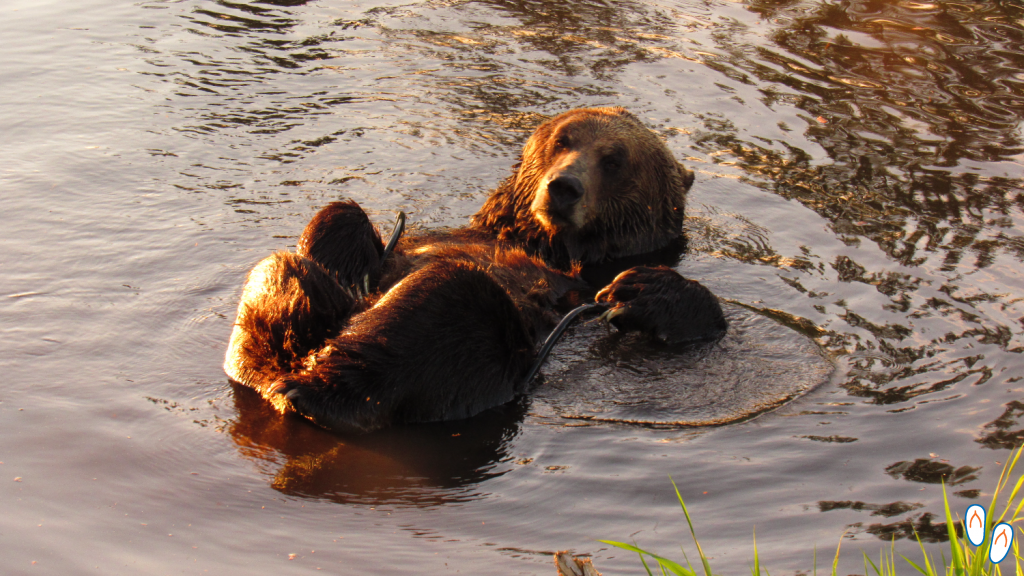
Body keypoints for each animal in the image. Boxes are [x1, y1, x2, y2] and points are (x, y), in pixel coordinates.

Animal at [224, 106, 729, 430]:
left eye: (615, 159)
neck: (544, 245)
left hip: (491, 353)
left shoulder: (572, 293)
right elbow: (347, 227)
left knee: (445, 301)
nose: (563, 186)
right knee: (284, 272)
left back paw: (309, 386)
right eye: (562, 139)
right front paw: (349, 245)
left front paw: (638, 290)